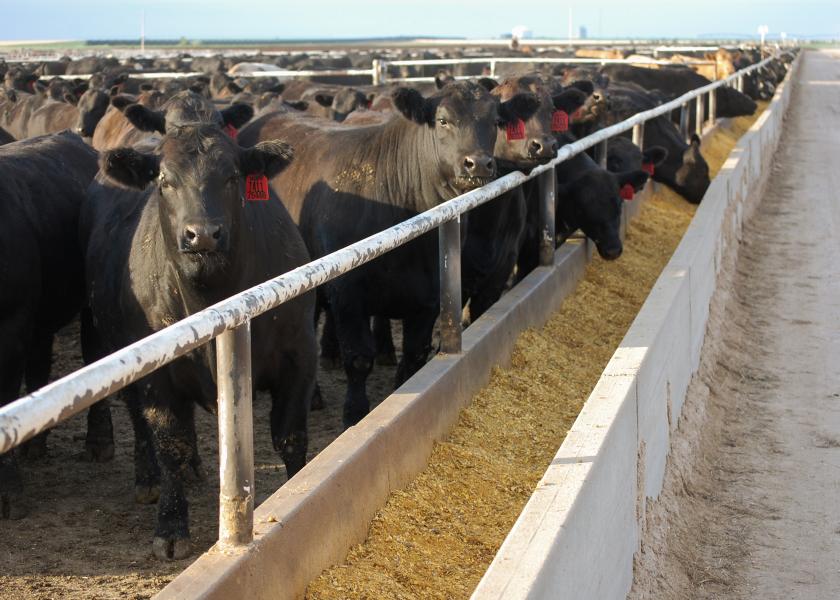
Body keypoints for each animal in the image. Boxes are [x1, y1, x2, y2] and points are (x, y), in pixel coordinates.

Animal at [82, 124, 316, 560]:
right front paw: (171, 526)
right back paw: (148, 478)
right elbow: (169, 442)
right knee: (140, 421)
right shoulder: (157, 377)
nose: (202, 234)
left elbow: (290, 436)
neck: (211, 295)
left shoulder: (301, 356)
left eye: (232, 176)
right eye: (163, 180)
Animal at [236, 81, 540, 426]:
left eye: (495, 121)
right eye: (443, 120)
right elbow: (358, 359)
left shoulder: (429, 297)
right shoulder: (348, 295)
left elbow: (414, 355)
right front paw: (355, 413)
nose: (477, 163)